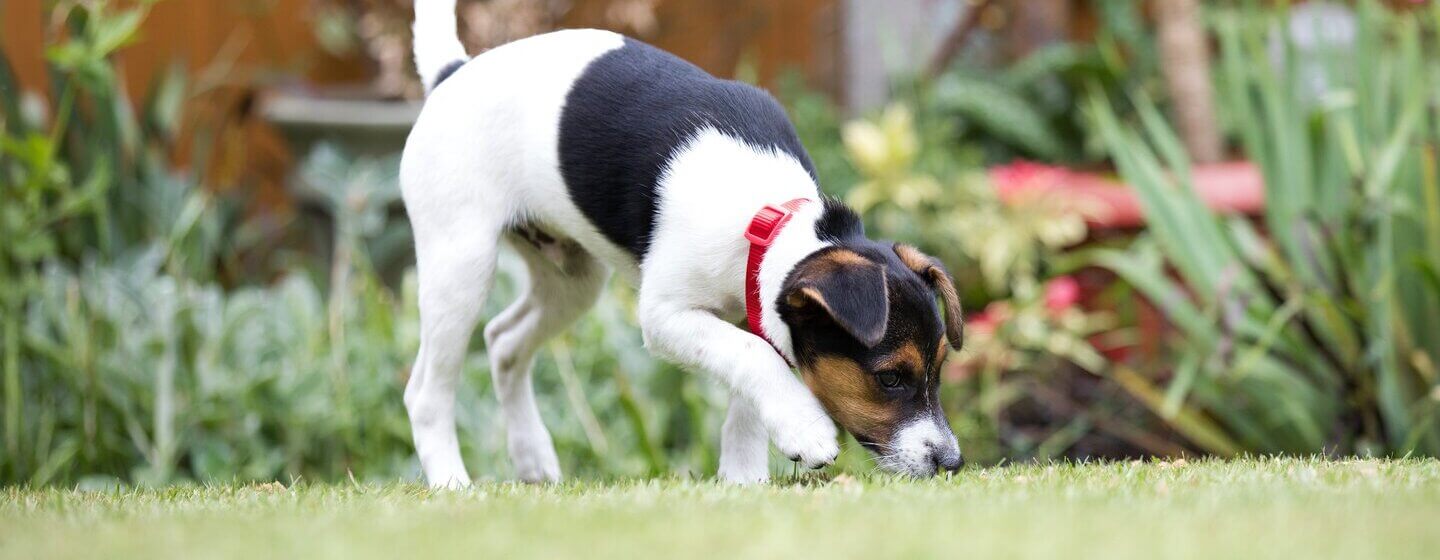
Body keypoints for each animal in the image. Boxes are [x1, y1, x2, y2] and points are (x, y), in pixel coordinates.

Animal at [403, 0, 967, 483]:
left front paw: (743, 477)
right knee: (427, 392)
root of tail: (453, 72)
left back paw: (533, 459)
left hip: (572, 278)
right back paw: (453, 483)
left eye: (938, 369)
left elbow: (748, 386)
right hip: (461, 262)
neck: (764, 218)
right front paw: (804, 430)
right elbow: (751, 357)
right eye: (890, 378)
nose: (952, 463)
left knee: (503, 342)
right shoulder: (665, 316)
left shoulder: (752, 309)